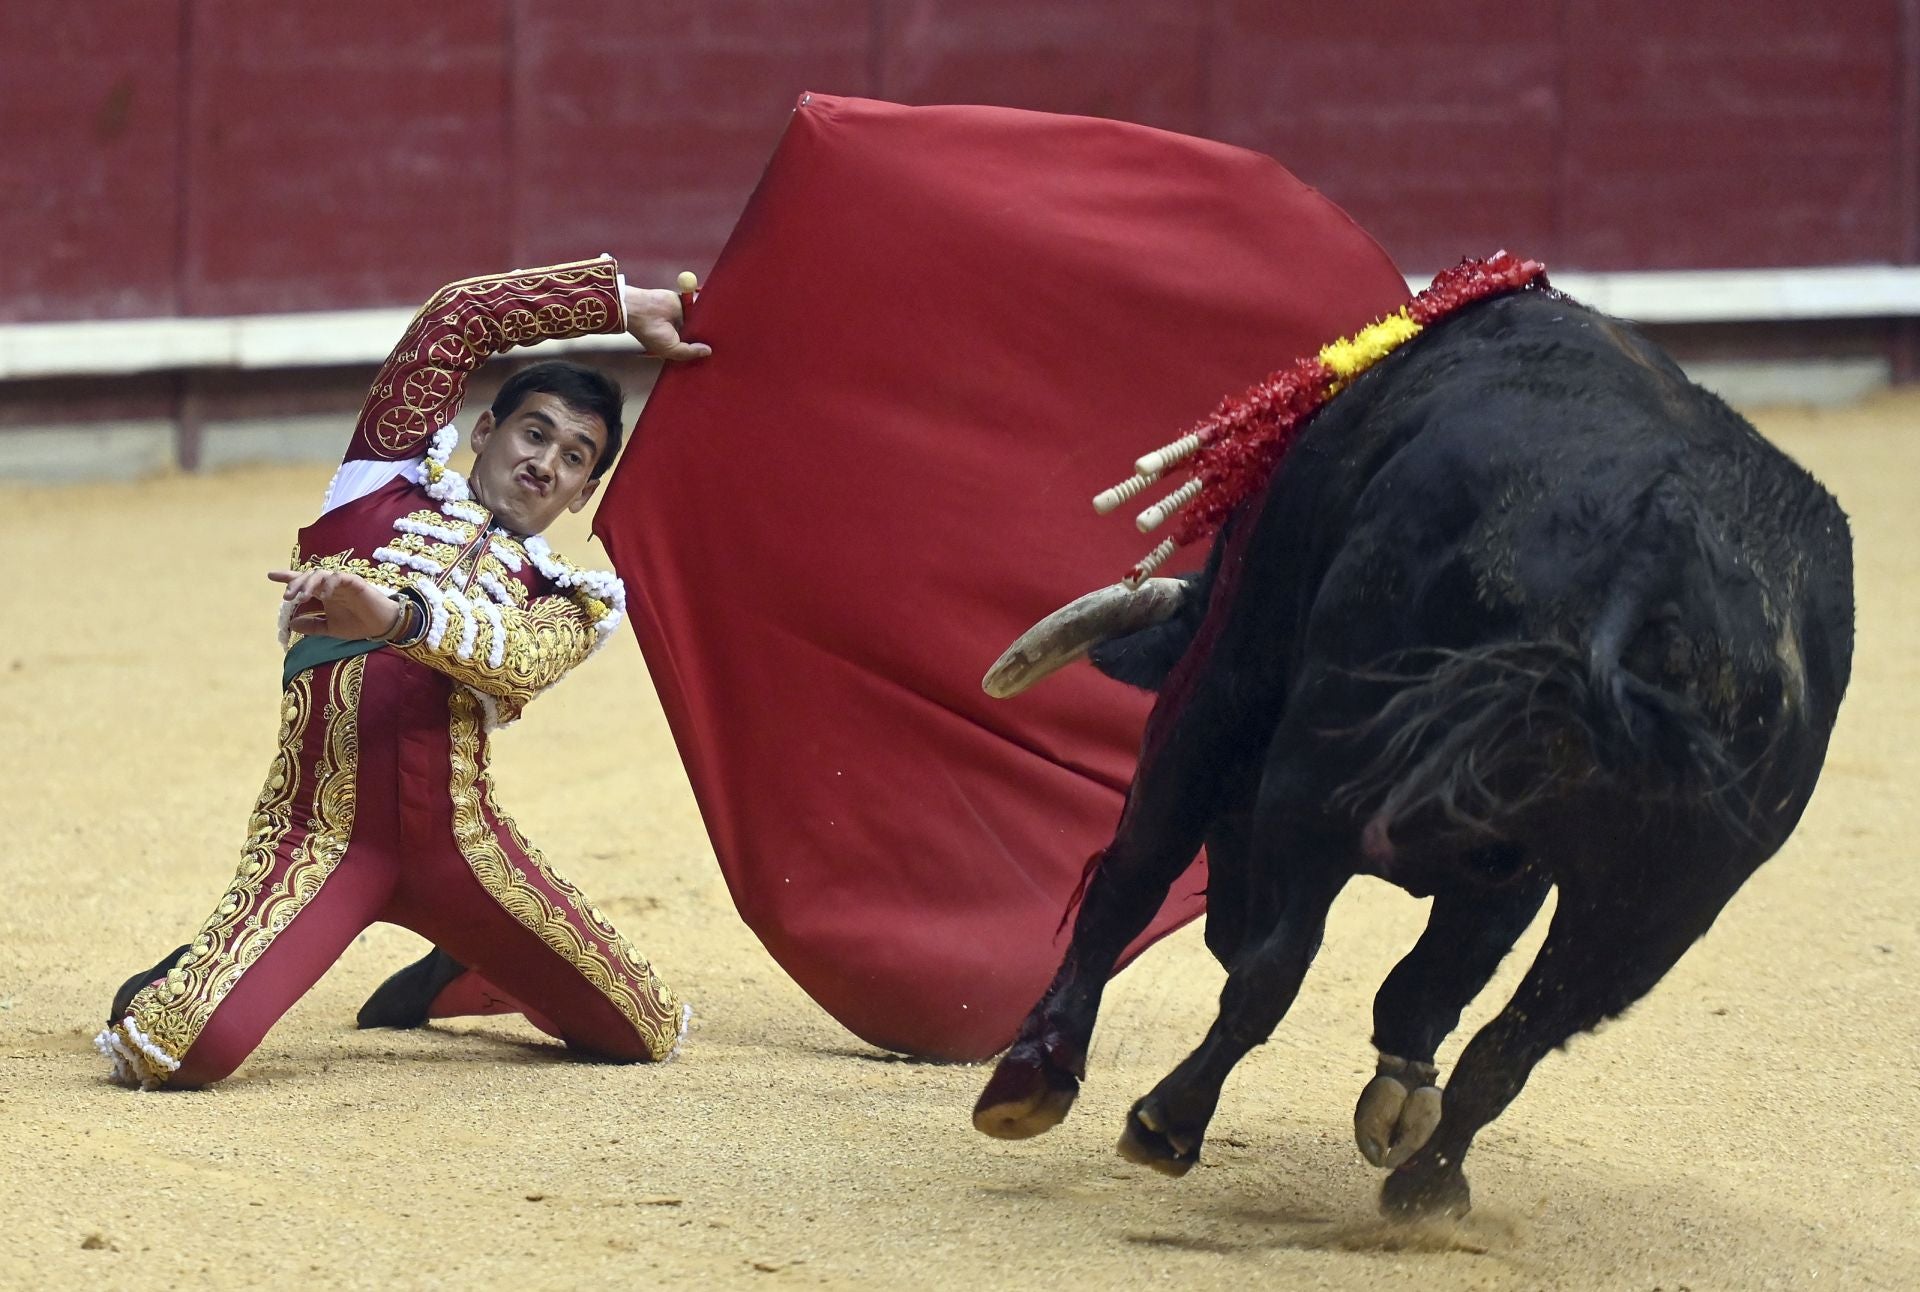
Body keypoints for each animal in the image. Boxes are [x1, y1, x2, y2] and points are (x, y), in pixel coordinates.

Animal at [983, 287, 1850, 1213]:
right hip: (1654, 909)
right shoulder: (1518, 868)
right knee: (1511, 1045)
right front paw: (1401, 1099)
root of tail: (1655, 549)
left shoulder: (1223, 678)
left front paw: (1032, 1074)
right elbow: (1436, 987)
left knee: (1267, 964)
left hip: (1313, 764)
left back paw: (1166, 1118)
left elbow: (1140, 870)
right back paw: (1426, 1188)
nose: (1221, 921)